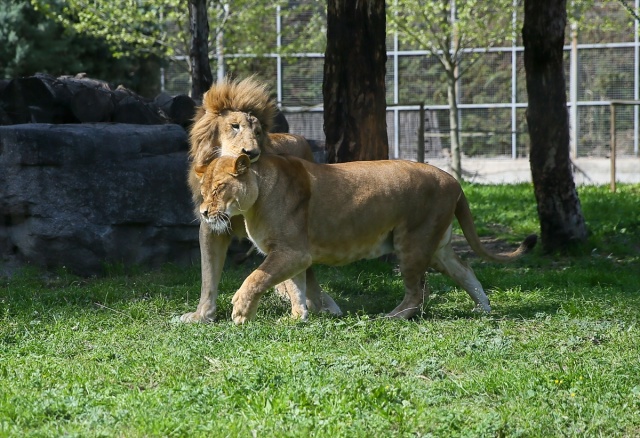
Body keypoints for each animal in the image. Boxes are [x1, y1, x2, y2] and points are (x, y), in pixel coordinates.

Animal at [180, 76, 340, 322]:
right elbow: (208, 274)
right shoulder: (211, 226)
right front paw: (202, 315)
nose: (252, 153)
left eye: (257, 132)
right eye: (234, 126)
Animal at [198, 155, 536, 326]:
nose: (202, 212)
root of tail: (454, 181)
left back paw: (391, 317)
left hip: (412, 243)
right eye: (202, 190)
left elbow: (256, 278)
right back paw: (484, 309)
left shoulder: (293, 251)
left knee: (418, 294)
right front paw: (298, 318)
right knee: (465, 269)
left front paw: (241, 312)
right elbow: (295, 287)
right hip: (437, 246)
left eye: (219, 188)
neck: (255, 199)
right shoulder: (287, 252)